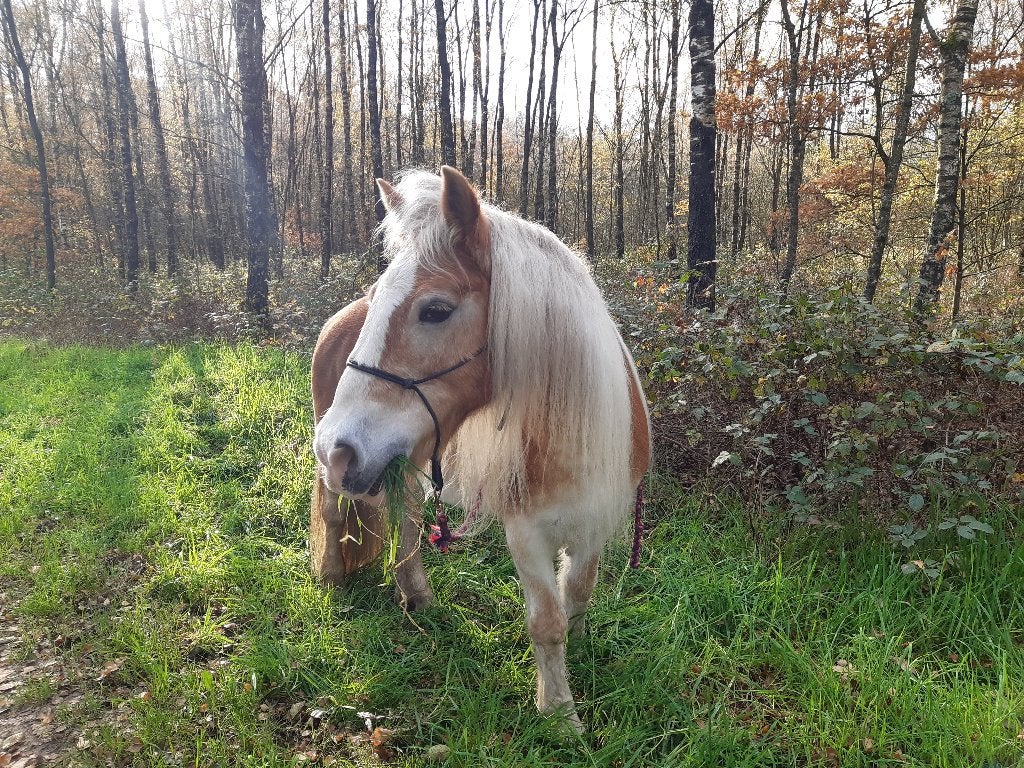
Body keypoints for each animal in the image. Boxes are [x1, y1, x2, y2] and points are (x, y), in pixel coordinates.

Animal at [310, 166, 651, 730]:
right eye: (381, 299)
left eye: (436, 310)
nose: (337, 448)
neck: (566, 434)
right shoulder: (526, 532)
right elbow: (546, 620)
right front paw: (559, 714)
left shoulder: (593, 520)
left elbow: (578, 593)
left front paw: (578, 653)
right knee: (336, 511)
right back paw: (335, 578)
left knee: (405, 515)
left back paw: (416, 594)